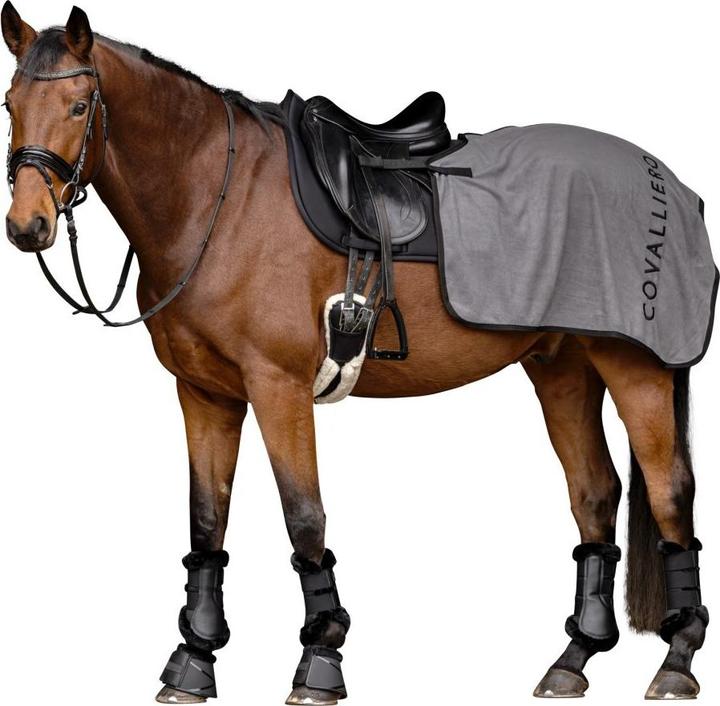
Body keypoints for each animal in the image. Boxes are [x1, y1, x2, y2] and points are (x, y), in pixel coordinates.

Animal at [1, 3, 711, 703]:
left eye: (79, 105)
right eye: (10, 102)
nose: (27, 225)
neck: (218, 199)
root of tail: (671, 184)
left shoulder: (278, 386)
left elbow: (303, 517)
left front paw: (320, 659)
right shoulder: (205, 392)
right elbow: (207, 520)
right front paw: (193, 659)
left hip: (635, 368)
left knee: (669, 491)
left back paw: (676, 661)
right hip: (562, 367)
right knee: (594, 492)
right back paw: (572, 660)